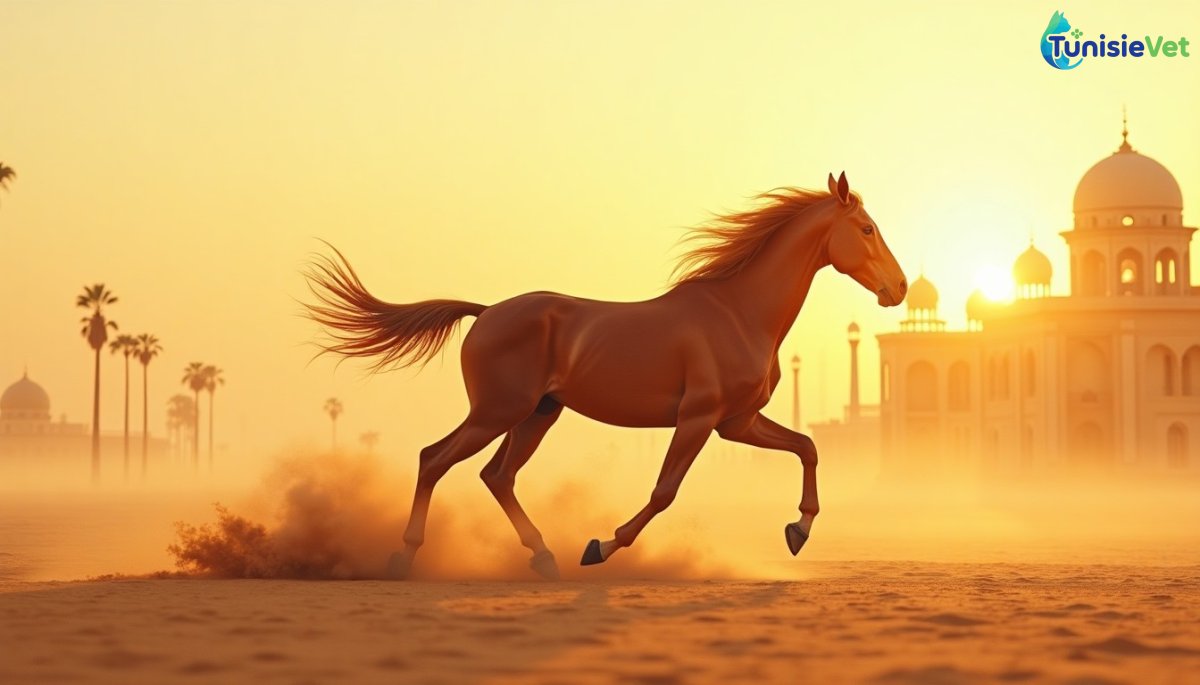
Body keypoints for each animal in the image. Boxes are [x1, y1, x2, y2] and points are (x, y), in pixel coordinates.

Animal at [304, 172, 907, 580]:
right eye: (866, 228)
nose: (898, 289)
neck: (738, 311)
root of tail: (487, 311)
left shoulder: (735, 421)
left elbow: (807, 446)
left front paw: (797, 532)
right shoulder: (699, 418)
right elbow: (664, 491)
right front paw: (600, 546)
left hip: (537, 415)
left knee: (497, 476)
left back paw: (545, 557)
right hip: (498, 411)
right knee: (435, 459)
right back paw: (402, 558)